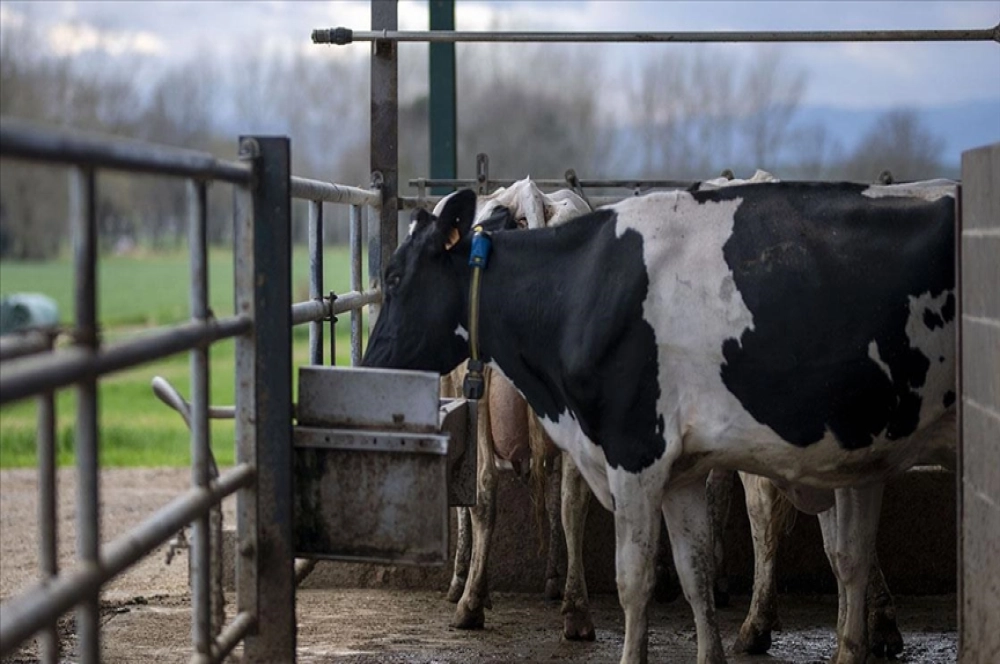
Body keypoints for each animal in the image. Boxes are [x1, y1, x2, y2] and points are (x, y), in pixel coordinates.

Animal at [364, 180, 956, 664]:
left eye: (392, 277)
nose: (369, 368)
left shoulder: (635, 453)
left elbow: (632, 577)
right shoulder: (680, 471)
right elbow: (694, 574)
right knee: (844, 555)